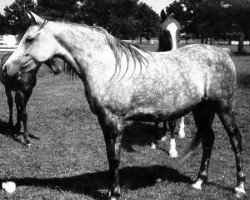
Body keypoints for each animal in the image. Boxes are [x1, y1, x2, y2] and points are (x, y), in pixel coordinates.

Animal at [2, 11, 246, 199]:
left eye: (29, 39)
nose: (6, 68)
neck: (107, 67)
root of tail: (221, 53)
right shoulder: (105, 121)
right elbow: (111, 156)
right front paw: (113, 190)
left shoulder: (114, 120)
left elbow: (115, 157)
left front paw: (115, 193)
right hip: (202, 110)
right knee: (209, 139)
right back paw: (199, 182)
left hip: (224, 107)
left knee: (235, 139)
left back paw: (239, 187)